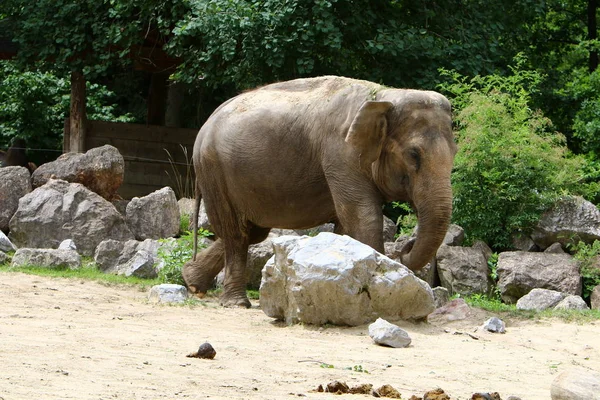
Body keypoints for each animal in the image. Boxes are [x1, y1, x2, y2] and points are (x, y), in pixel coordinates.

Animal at [183, 76, 454, 306]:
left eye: (455, 153)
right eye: (413, 155)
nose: (404, 250)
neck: (385, 95)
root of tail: (206, 122)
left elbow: (347, 225)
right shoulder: (340, 153)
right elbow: (363, 217)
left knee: (252, 232)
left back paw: (192, 282)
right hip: (213, 169)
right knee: (236, 233)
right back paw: (235, 302)